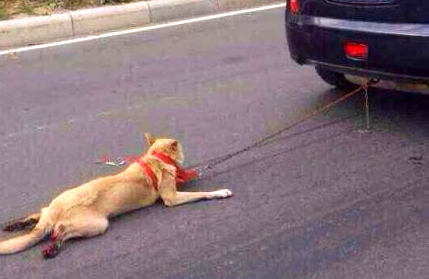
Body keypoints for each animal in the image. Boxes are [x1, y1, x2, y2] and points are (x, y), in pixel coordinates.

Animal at [0, 135, 232, 260]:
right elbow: (200, 193)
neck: (156, 157)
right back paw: (53, 246)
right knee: (60, 231)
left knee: (39, 214)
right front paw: (219, 192)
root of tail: (55, 211)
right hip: (98, 224)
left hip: (54, 205)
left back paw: (16, 225)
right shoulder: (171, 198)